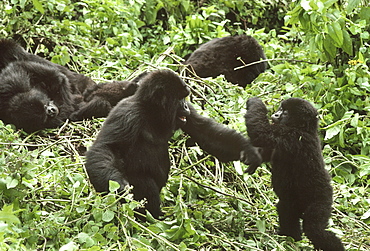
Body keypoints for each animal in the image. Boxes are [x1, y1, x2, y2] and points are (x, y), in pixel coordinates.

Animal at [85, 69, 262, 219]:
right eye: (179, 98)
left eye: (185, 99)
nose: (185, 106)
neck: (151, 110)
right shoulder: (127, 114)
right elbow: (105, 148)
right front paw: (119, 187)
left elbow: (208, 134)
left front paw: (248, 149)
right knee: (145, 183)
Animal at [244, 97, 346, 250]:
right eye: (280, 109)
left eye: (285, 113)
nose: (275, 114)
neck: (304, 128)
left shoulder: (291, 136)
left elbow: (261, 132)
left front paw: (255, 102)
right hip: (294, 201)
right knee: (286, 209)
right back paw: (290, 237)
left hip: (323, 199)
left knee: (315, 228)